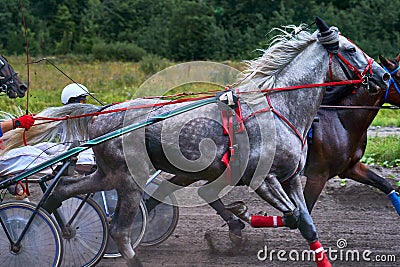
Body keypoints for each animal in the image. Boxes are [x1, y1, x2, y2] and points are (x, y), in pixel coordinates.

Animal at [3, 17, 390, 266]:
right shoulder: (264, 179)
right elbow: (293, 217)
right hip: (127, 179)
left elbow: (306, 223)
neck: (279, 107)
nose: (384, 75)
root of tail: (104, 110)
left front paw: (241, 223)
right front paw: (240, 222)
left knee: (68, 188)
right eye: (350, 49)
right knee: (119, 229)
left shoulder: (294, 177)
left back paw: (55, 211)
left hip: (112, 173)